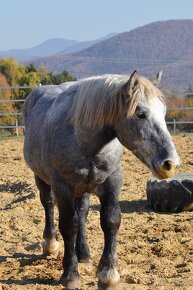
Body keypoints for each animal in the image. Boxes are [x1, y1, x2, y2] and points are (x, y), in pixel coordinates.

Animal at [23, 71, 180, 290]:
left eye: (164, 113)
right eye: (141, 114)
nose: (170, 164)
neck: (83, 139)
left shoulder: (112, 182)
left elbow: (110, 221)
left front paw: (108, 275)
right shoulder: (63, 187)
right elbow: (68, 225)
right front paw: (71, 275)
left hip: (82, 188)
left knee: (82, 213)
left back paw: (83, 254)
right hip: (42, 178)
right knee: (48, 204)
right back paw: (50, 245)